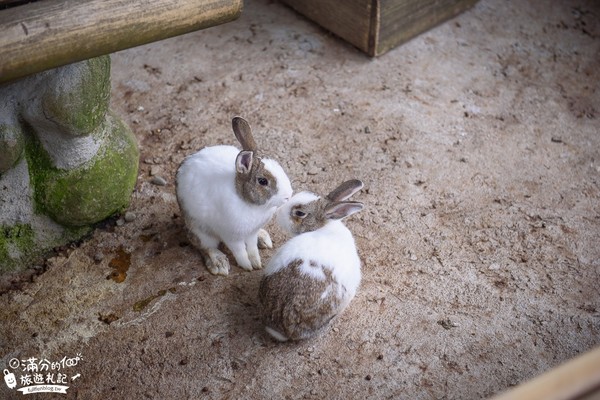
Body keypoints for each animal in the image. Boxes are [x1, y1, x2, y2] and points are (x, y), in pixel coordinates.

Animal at [176, 117, 292, 276]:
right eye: (262, 181)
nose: (289, 195)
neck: (246, 201)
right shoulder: (230, 236)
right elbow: (240, 252)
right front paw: (247, 266)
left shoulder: (251, 233)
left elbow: (252, 248)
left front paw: (257, 263)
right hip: (199, 229)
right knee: (204, 246)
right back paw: (219, 264)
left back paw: (263, 239)